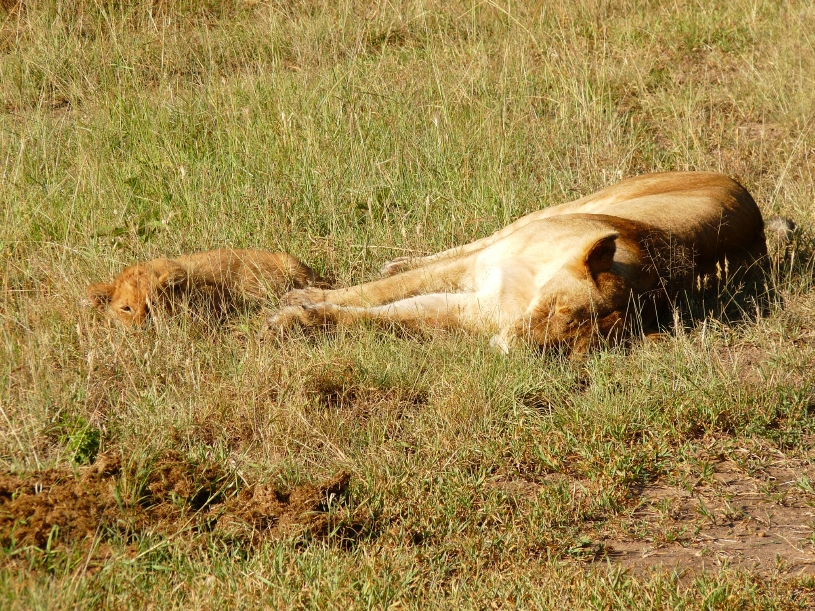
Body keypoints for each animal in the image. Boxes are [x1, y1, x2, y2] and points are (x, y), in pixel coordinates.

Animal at [266, 172, 770, 354]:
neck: (532, 284)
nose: (517, 350)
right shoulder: (480, 267)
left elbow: (387, 316)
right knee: (472, 240)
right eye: (559, 310)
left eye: (572, 347)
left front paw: (302, 320)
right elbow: (380, 292)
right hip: (570, 206)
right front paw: (300, 300)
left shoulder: (475, 310)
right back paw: (395, 262)